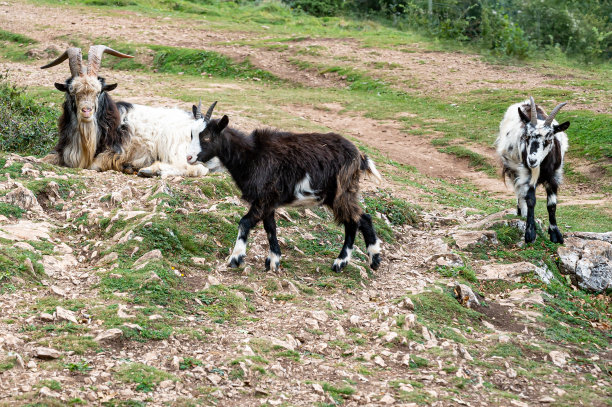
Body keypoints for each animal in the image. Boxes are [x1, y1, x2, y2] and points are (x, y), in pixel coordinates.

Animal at [41, 45, 218, 178]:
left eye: (98, 91)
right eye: (72, 92)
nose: (86, 111)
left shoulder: (115, 152)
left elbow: (93, 165)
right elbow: (46, 158)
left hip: (179, 147)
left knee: (196, 168)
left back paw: (150, 170)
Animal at [186, 102, 382, 274]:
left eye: (206, 137)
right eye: (191, 135)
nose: (188, 157)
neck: (251, 155)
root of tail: (360, 156)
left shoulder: (264, 197)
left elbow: (245, 222)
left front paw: (236, 258)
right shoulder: (268, 202)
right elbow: (270, 228)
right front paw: (274, 261)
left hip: (342, 191)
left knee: (355, 220)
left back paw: (343, 262)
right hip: (335, 195)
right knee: (361, 218)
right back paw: (373, 260)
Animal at [494, 97, 572, 244]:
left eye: (549, 138)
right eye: (526, 136)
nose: (532, 160)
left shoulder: (554, 176)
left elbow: (552, 204)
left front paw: (555, 234)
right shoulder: (527, 175)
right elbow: (530, 200)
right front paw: (530, 233)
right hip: (513, 167)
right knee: (519, 190)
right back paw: (522, 212)